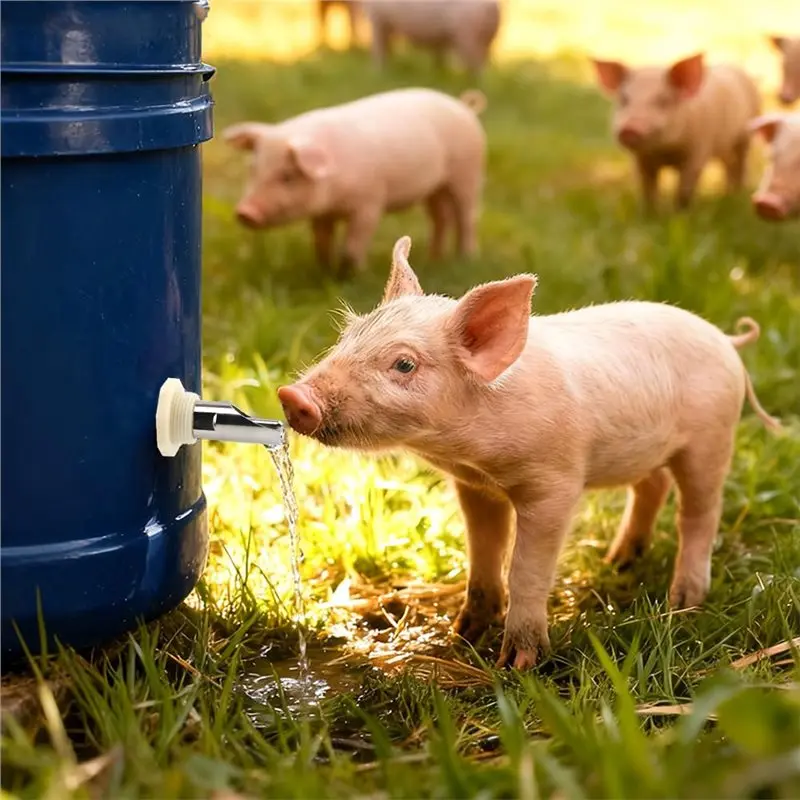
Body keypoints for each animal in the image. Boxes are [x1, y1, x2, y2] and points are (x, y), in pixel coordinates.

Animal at [222, 88, 487, 278]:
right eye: (253, 169)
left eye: (287, 176)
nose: (244, 212)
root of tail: (464, 106)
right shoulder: (322, 213)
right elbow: (321, 239)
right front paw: (323, 269)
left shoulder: (370, 202)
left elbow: (354, 242)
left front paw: (353, 274)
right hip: (435, 188)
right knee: (441, 218)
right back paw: (433, 259)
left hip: (468, 172)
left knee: (466, 216)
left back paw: (466, 257)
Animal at [277, 235, 782, 670]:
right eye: (348, 335)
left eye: (404, 364)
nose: (292, 396)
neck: (470, 451)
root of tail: (726, 341)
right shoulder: (474, 486)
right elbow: (484, 551)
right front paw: (462, 635)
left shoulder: (555, 483)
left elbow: (526, 566)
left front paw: (517, 665)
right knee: (652, 485)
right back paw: (617, 561)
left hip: (712, 435)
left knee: (700, 511)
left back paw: (683, 602)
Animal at [361, 0, 501, 76]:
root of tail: (491, 7)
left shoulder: (378, 19)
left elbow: (379, 49)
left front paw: (376, 73)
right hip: (487, 40)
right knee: (484, 63)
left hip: (467, 35)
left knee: (478, 66)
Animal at [591, 52, 761, 211]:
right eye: (624, 100)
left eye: (663, 101)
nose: (629, 129)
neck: (666, 152)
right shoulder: (641, 160)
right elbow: (647, 191)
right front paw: (650, 215)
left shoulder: (698, 152)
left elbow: (683, 191)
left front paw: (680, 214)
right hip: (724, 147)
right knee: (728, 166)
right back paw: (728, 195)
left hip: (747, 134)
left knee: (741, 164)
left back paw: (738, 195)